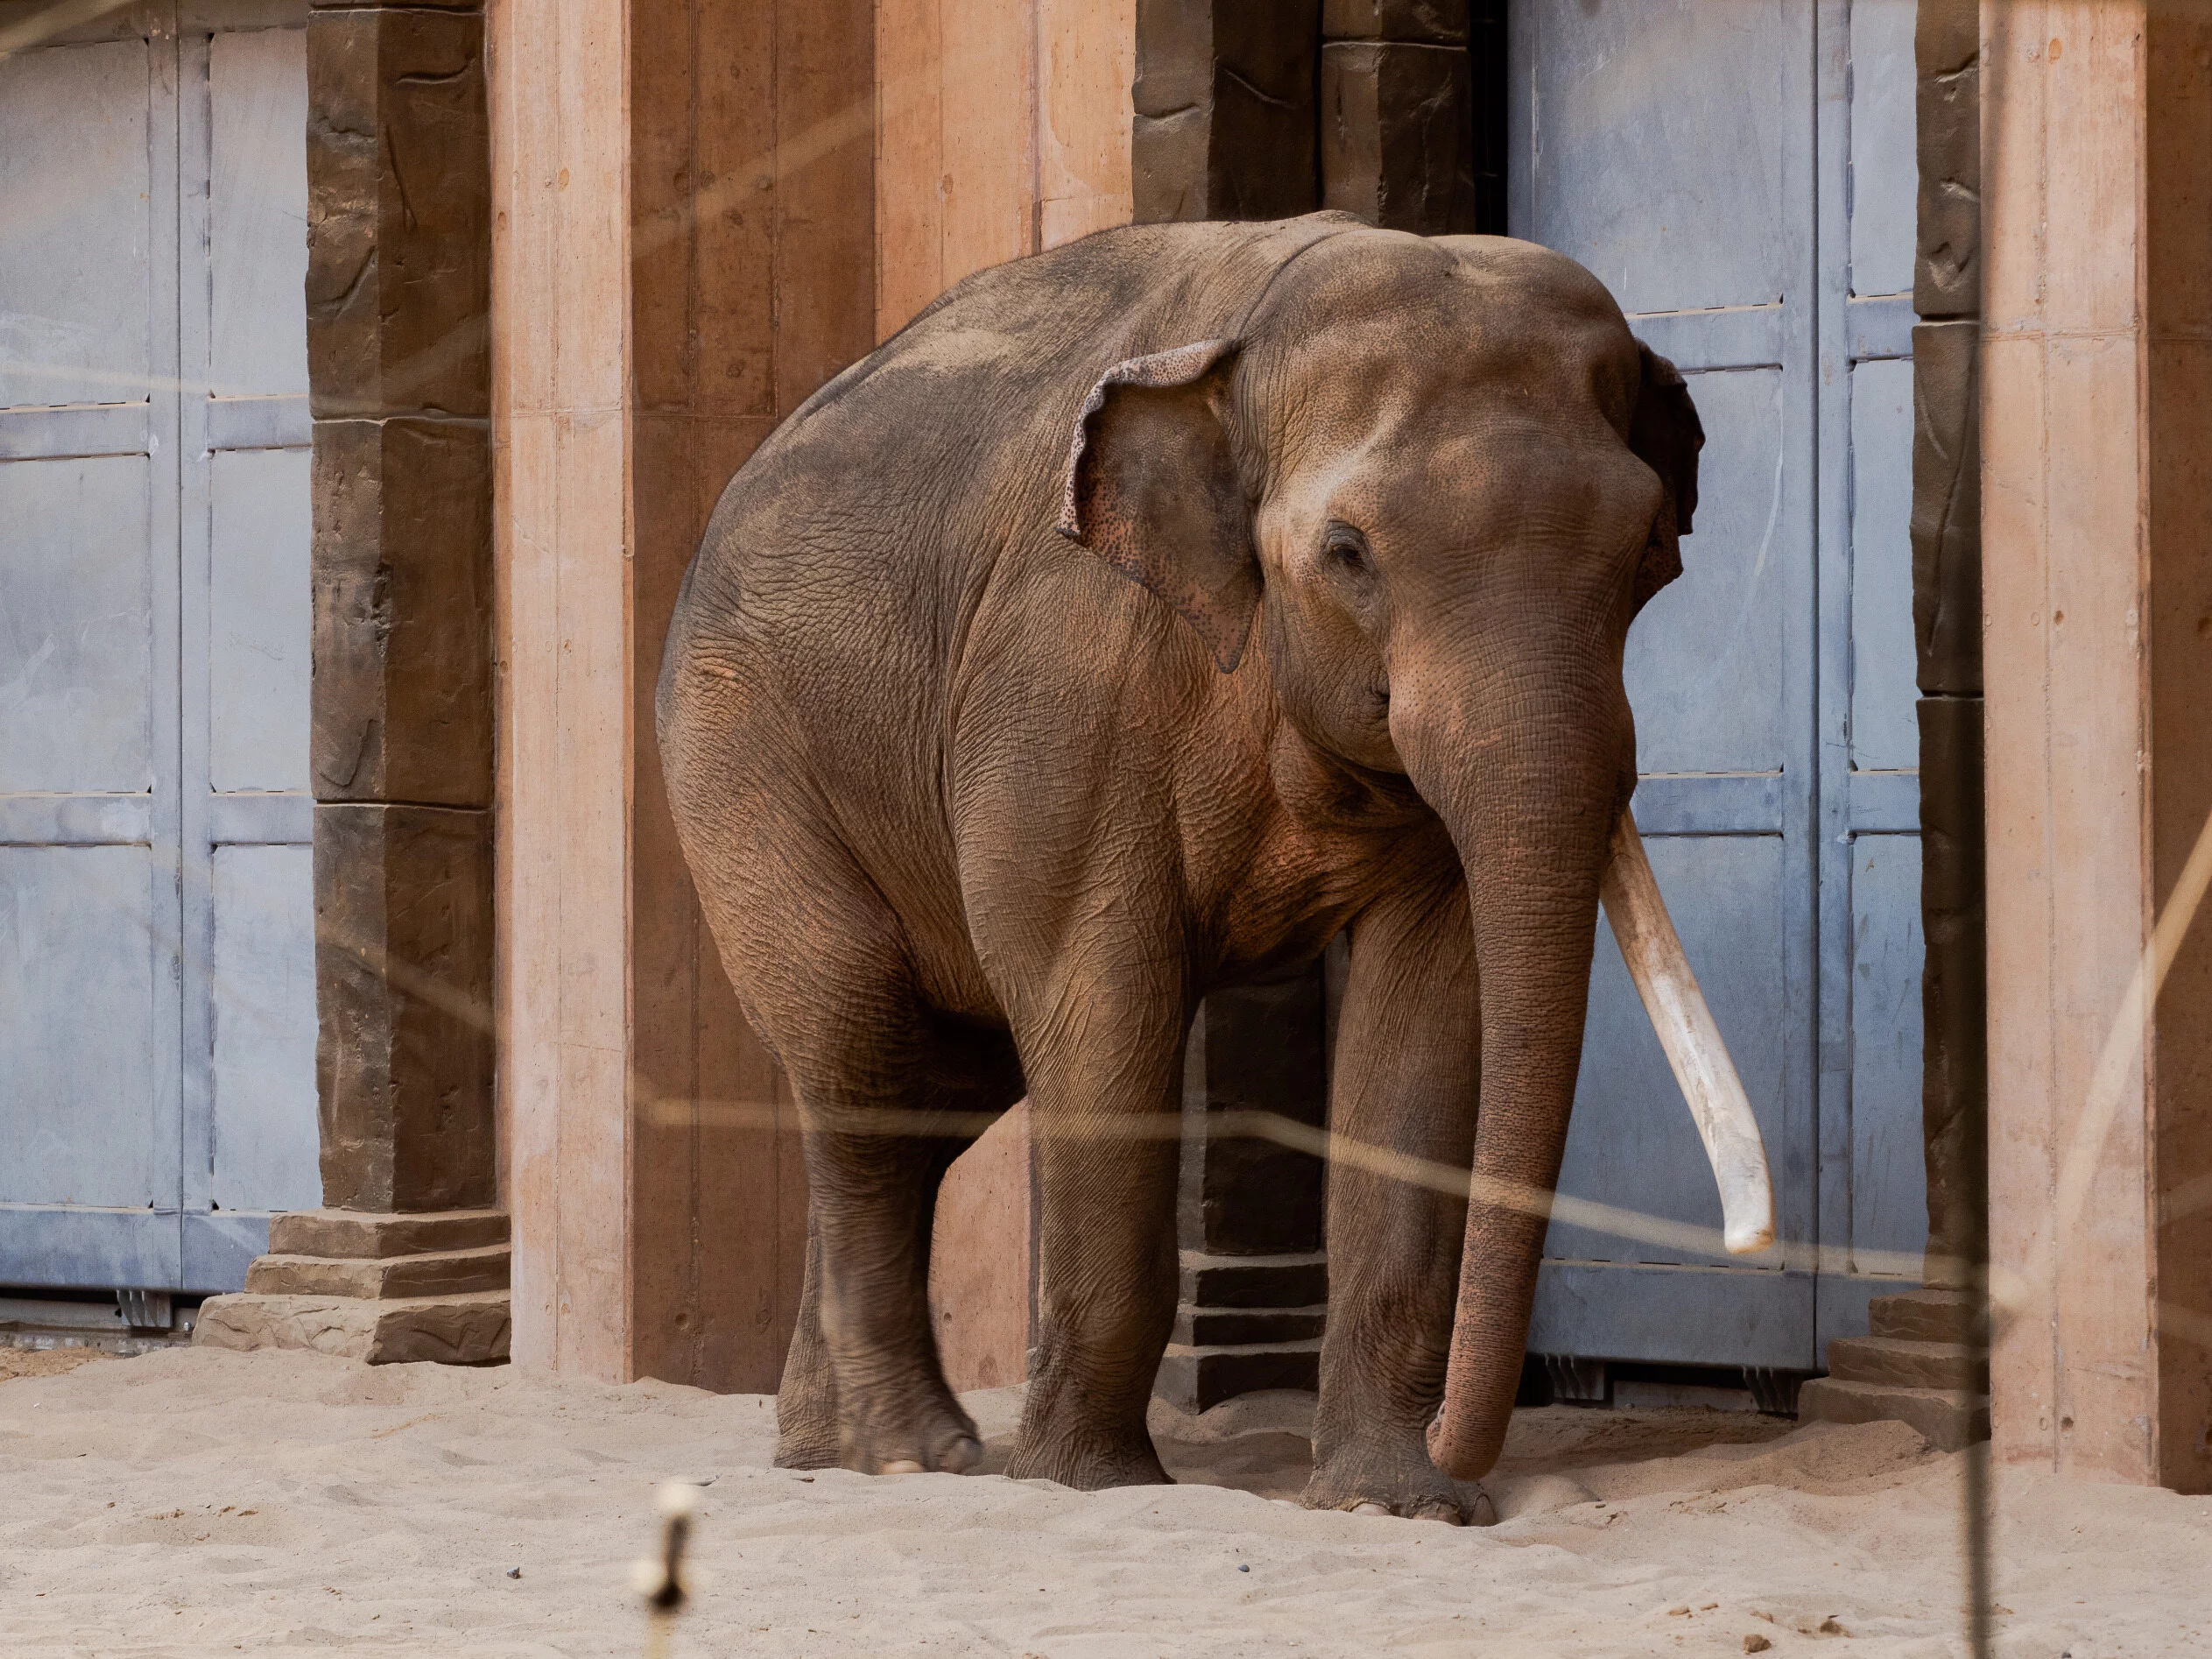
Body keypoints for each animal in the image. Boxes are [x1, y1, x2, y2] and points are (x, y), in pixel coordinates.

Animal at [650, 214, 1760, 1530]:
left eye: (1647, 550)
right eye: (1347, 553)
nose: (1465, 1447)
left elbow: (1433, 1014)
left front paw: (1394, 1503)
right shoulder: (1067, 678)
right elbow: (1102, 1002)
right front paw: (1090, 1483)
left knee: (934, 1085)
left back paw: (827, 1450)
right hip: (741, 755)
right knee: (866, 1050)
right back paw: (921, 1455)